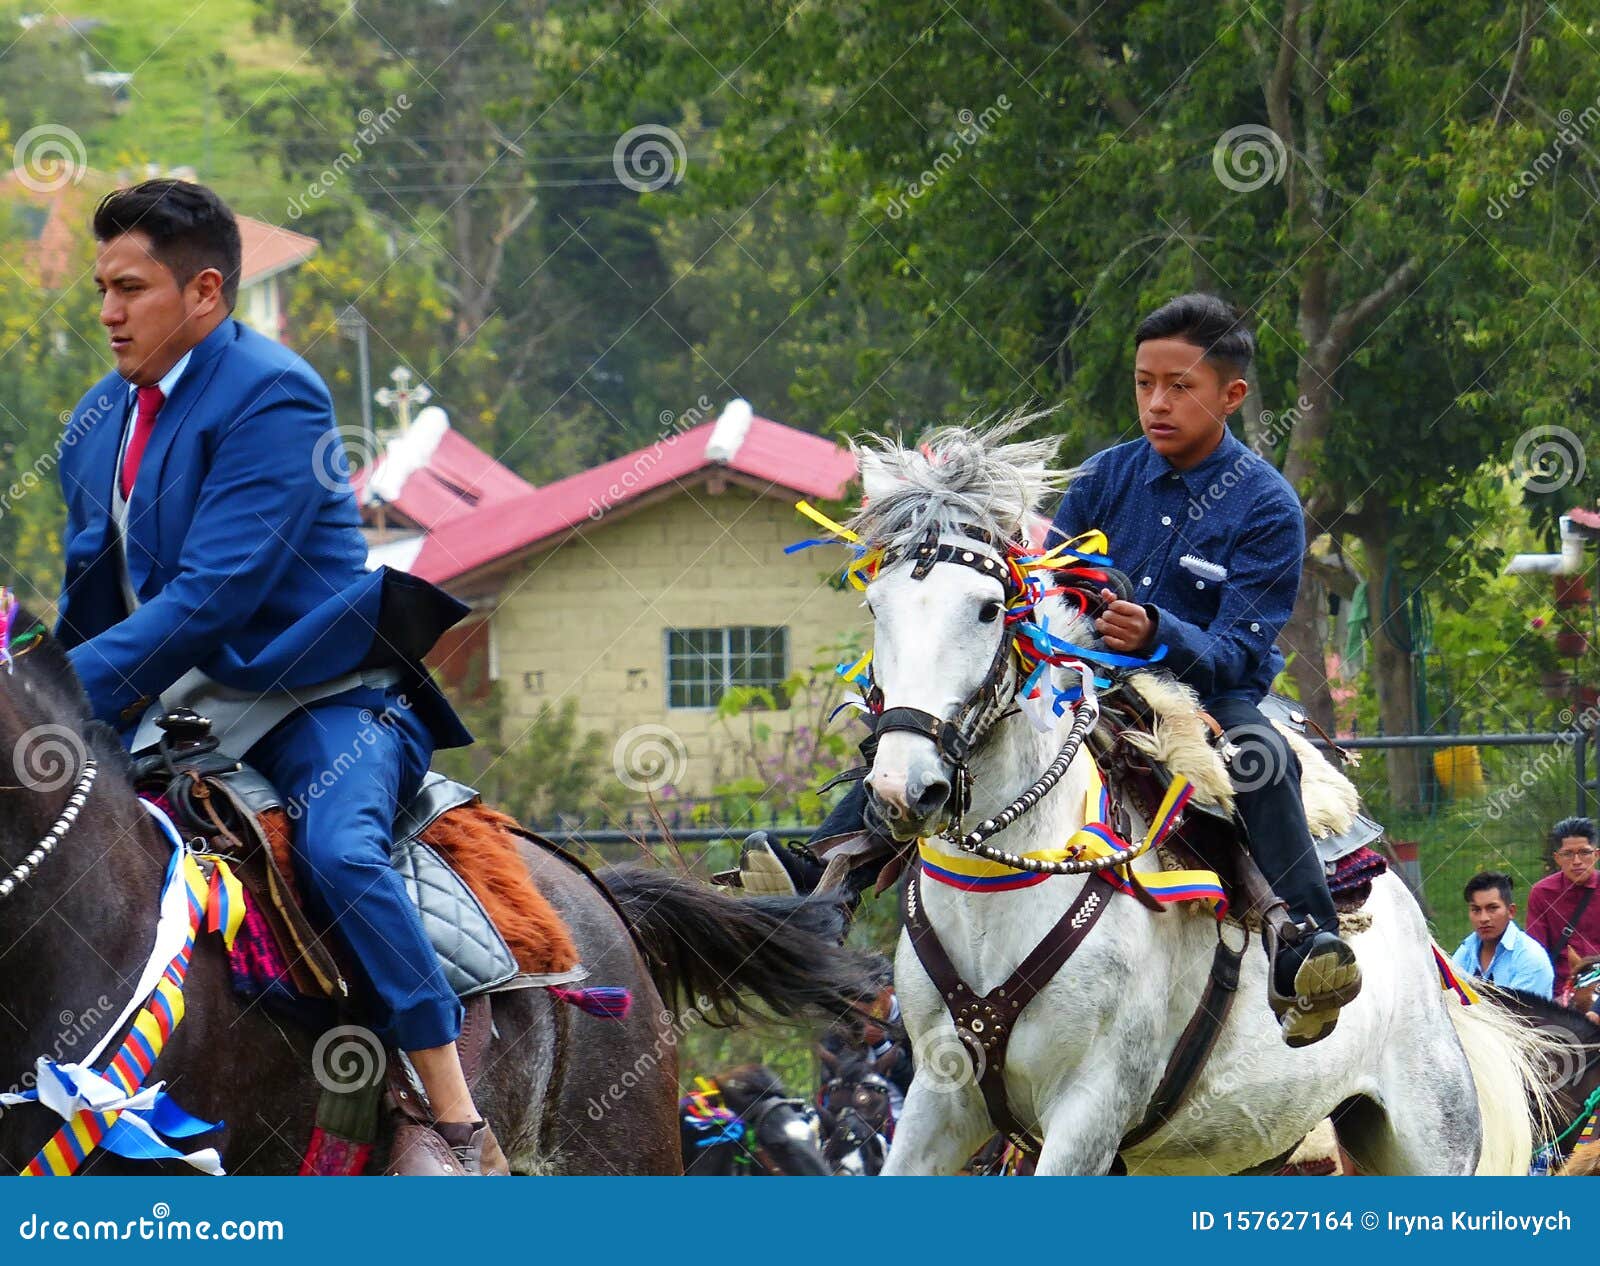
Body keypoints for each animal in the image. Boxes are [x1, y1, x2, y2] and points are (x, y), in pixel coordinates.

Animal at [857, 422, 1555, 1177]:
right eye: (875, 607)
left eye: (988, 610)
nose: (903, 787)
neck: (999, 893)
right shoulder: (941, 1094)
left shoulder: (1089, 1108)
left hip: (1431, 1133)